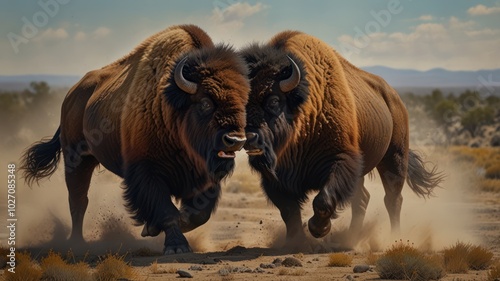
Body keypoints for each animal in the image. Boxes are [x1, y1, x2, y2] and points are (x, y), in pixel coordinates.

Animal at [20, 24, 250, 254]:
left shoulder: (205, 177)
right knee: (78, 200)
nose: (235, 140)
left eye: (244, 102)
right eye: (205, 102)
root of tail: (71, 96)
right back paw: (76, 243)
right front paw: (175, 245)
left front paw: (156, 227)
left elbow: (197, 214)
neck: (171, 106)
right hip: (76, 159)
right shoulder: (147, 171)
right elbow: (166, 210)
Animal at [240, 30, 444, 245]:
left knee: (392, 199)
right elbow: (289, 211)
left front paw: (319, 229)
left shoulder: (341, 160)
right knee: (362, 199)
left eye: (273, 100)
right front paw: (296, 241)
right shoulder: (274, 179)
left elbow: (323, 200)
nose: (250, 137)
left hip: (394, 157)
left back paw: (394, 237)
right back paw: (351, 237)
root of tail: (395, 99)